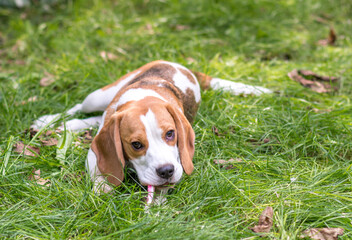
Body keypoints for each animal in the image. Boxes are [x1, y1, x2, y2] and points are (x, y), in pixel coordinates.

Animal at [33, 61, 270, 194]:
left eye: (171, 134)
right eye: (136, 144)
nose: (166, 171)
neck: (142, 97)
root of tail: (180, 65)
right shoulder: (94, 152)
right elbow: (100, 173)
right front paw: (103, 188)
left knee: (95, 118)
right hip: (97, 97)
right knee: (79, 108)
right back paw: (50, 121)